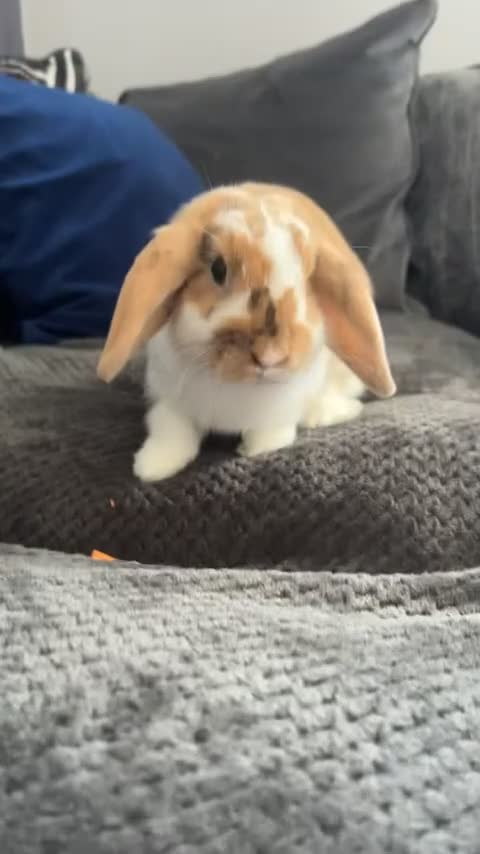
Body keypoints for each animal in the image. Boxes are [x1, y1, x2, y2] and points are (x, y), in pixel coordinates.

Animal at [97, 182, 395, 481]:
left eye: (309, 278)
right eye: (218, 269)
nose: (270, 355)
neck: (238, 385)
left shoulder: (283, 408)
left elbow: (272, 433)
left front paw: (254, 450)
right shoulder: (168, 399)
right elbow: (170, 429)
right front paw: (152, 467)